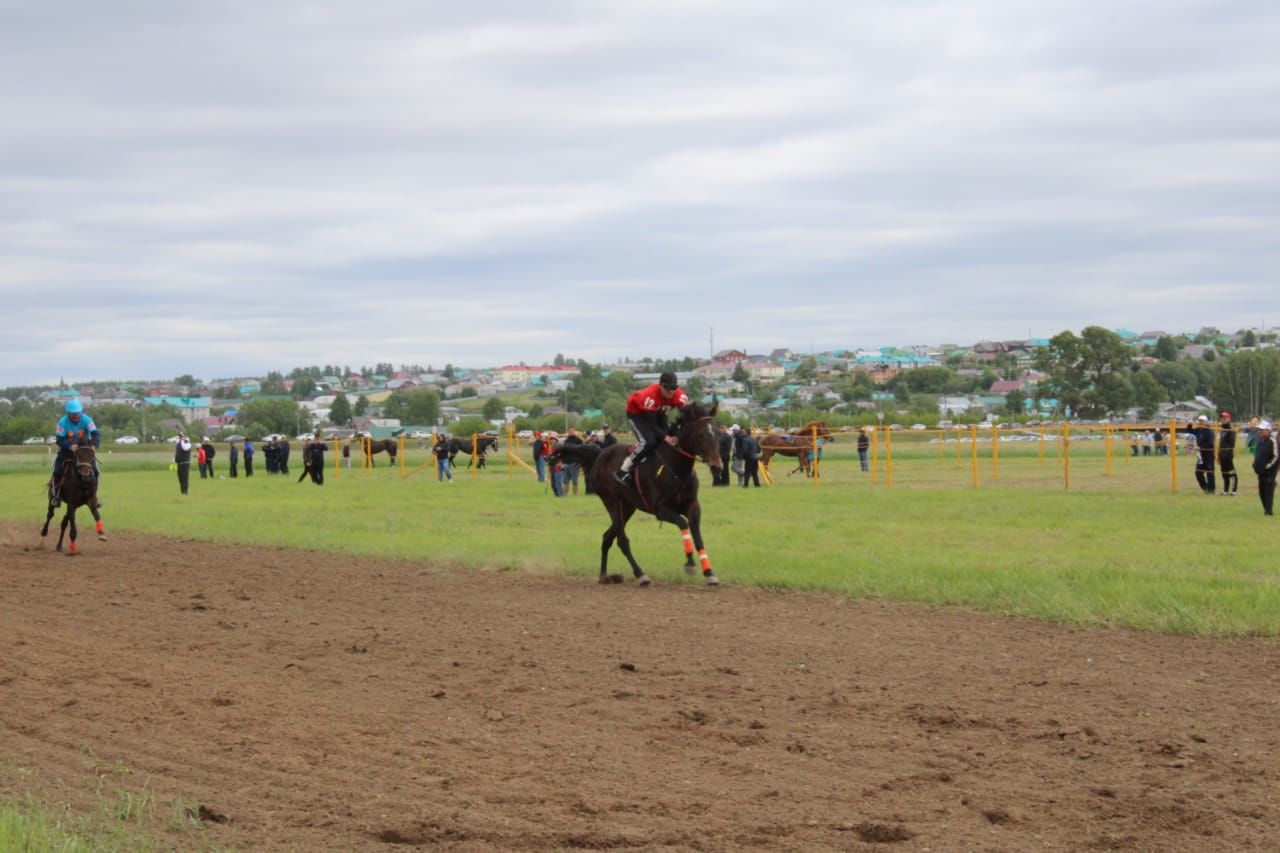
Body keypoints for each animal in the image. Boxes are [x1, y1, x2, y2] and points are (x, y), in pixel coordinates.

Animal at [586, 399, 727, 584]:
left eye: (718, 434)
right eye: (701, 435)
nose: (717, 467)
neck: (677, 468)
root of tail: (600, 456)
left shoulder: (693, 506)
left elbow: (698, 537)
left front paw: (709, 572)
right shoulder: (660, 509)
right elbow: (683, 523)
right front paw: (690, 563)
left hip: (628, 507)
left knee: (607, 537)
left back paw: (604, 575)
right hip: (612, 501)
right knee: (622, 540)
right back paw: (640, 574)